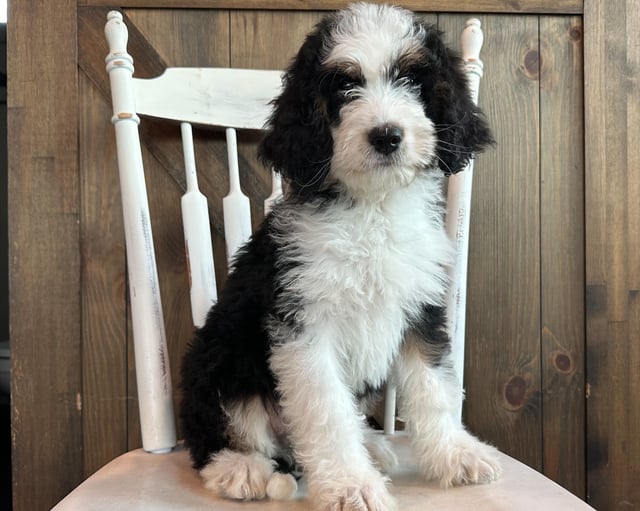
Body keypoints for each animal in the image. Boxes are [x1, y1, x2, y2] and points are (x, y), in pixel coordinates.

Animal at [180, 3, 500, 508]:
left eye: (412, 80)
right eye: (344, 87)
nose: (386, 136)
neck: (372, 209)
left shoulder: (420, 310)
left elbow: (434, 387)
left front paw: (457, 455)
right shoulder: (304, 325)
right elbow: (327, 411)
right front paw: (352, 486)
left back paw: (372, 446)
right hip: (221, 360)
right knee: (217, 431)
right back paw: (240, 468)